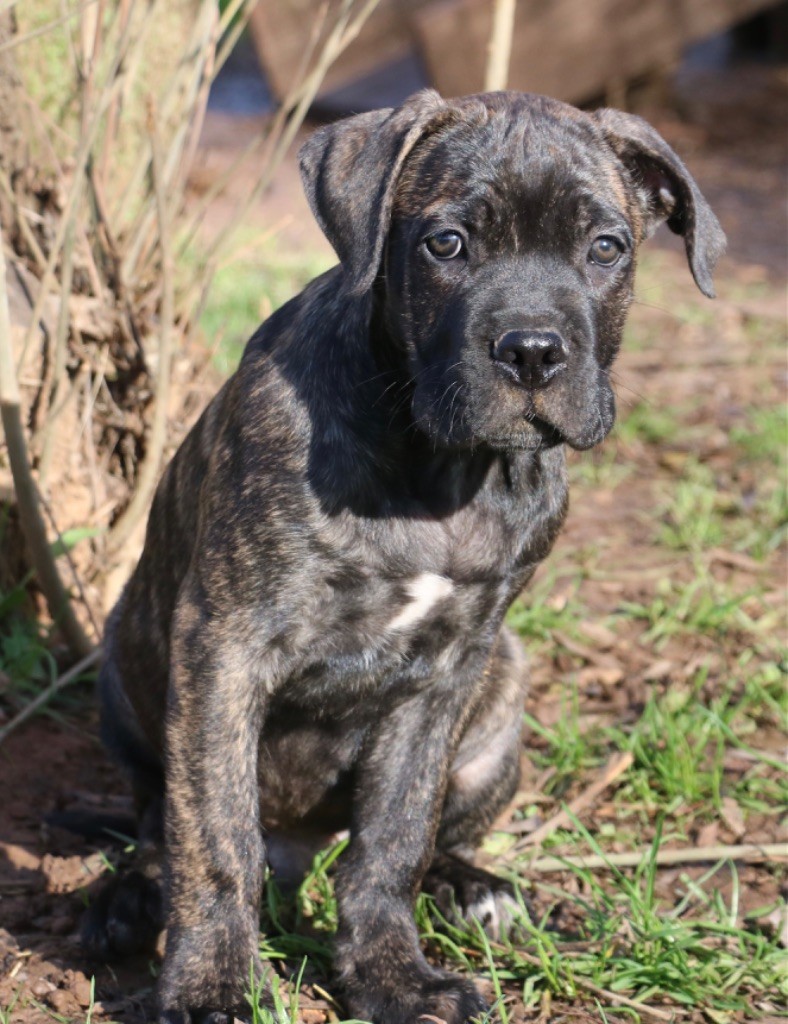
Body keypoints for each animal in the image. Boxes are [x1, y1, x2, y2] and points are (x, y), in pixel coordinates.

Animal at [85, 90, 724, 1024]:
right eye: (446, 245)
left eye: (606, 248)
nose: (533, 350)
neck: (440, 467)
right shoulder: (224, 645)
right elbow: (214, 832)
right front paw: (213, 985)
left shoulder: (444, 673)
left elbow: (394, 838)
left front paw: (391, 976)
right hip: (126, 670)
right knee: (154, 822)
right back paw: (128, 901)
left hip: (501, 697)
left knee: (424, 836)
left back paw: (473, 888)